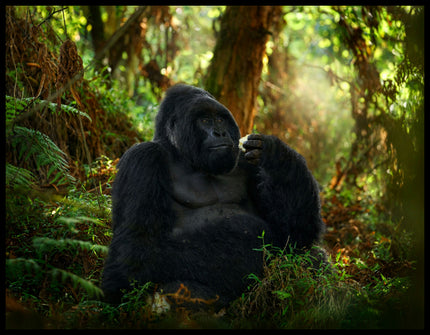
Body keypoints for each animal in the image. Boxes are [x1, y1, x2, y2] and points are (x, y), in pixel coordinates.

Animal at [101, 84, 326, 310]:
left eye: (219, 119)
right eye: (205, 120)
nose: (220, 132)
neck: (184, 157)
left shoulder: (243, 160)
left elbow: (294, 232)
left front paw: (276, 153)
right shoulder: (143, 158)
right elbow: (135, 248)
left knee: (309, 254)